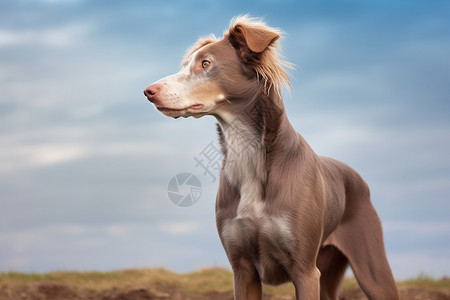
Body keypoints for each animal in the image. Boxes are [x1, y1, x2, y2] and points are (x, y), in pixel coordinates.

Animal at [143, 15, 398, 300]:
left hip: (372, 269)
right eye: (186, 65)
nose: (148, 91)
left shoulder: (305, 271)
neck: (248, 154)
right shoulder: (242, 269)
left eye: (205, 64)